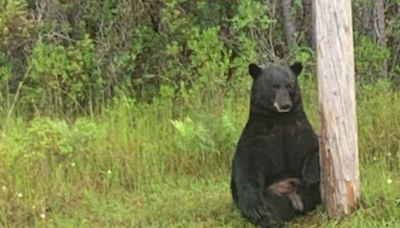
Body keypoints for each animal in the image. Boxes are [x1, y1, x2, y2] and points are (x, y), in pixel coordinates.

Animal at [230, 61, 320, 227]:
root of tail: (295, 200)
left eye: (289, 85)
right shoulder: (257, 138)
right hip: (271, 195)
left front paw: (310, 174)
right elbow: (247, 166)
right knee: (269, 208)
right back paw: (271, 220)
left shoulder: (300, 130)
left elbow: (315, 147)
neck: (280, 119)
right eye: (274, 86)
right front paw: (253, 207)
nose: (285, 105)